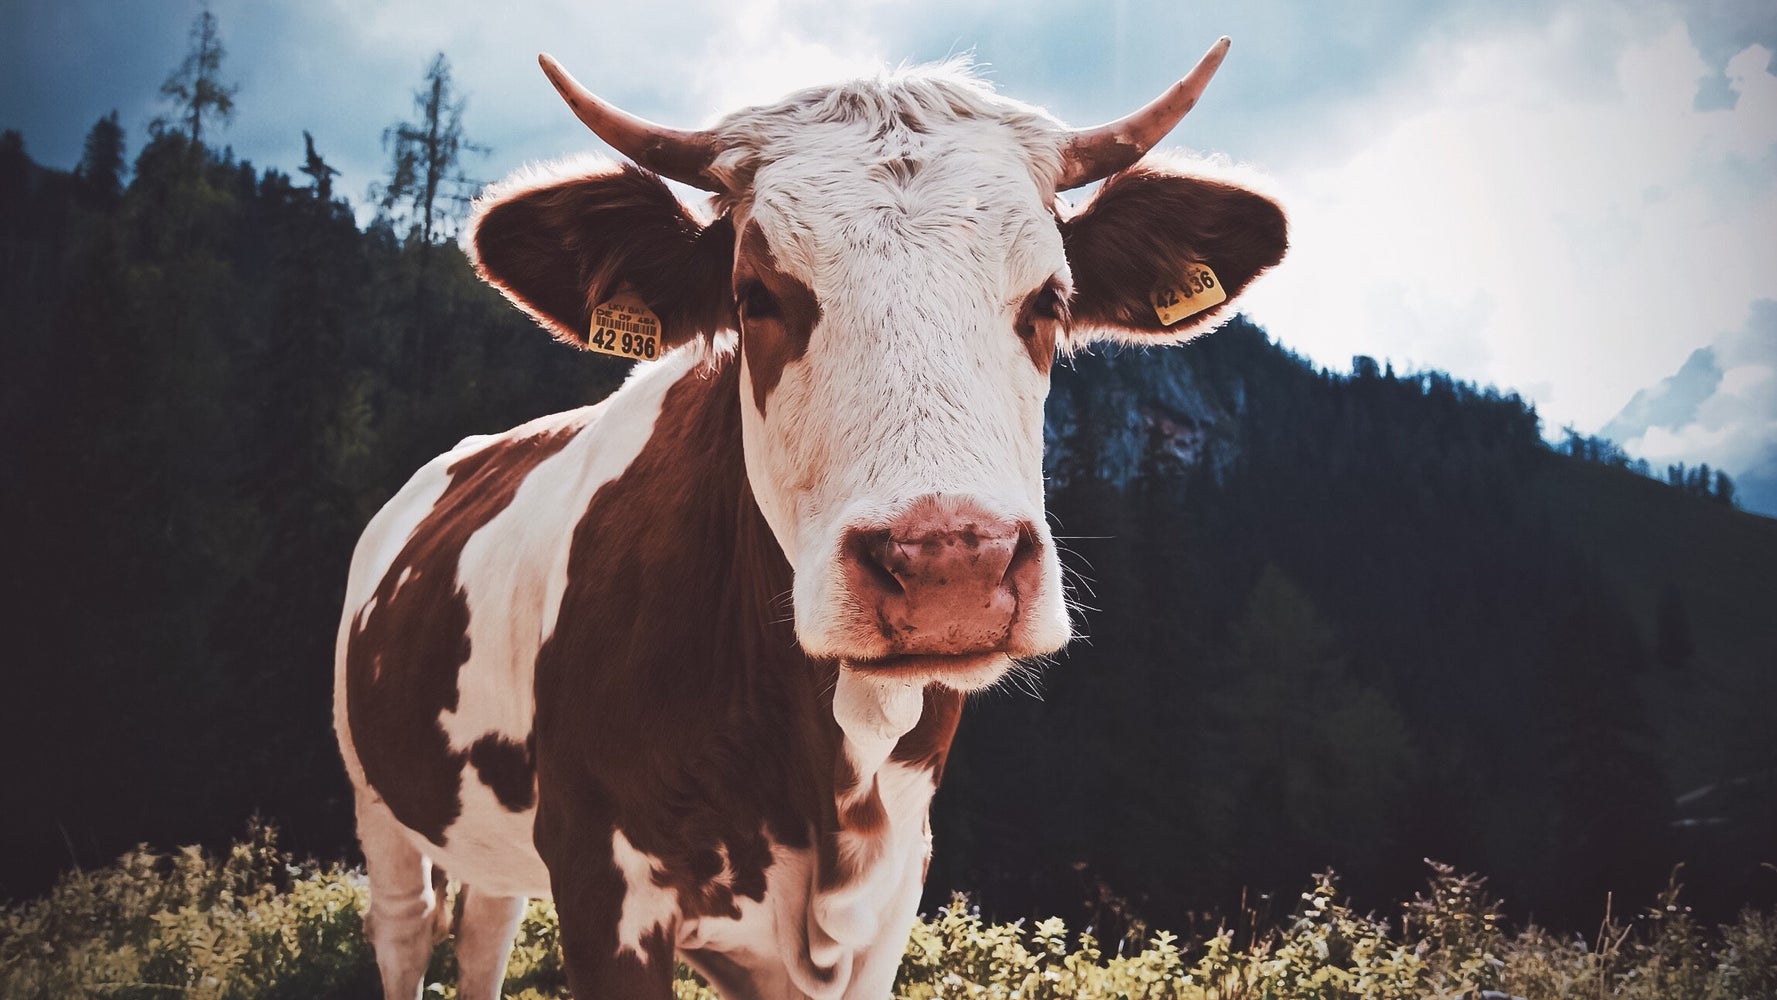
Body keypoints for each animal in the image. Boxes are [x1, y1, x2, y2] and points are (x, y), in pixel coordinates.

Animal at [335, 36, 1285, 1000]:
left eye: (1049, 298)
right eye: (756, 295)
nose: (949, 563)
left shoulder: (890, 895)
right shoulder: (605, 885)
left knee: (484, 928)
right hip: (376, 797)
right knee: (406, 927)